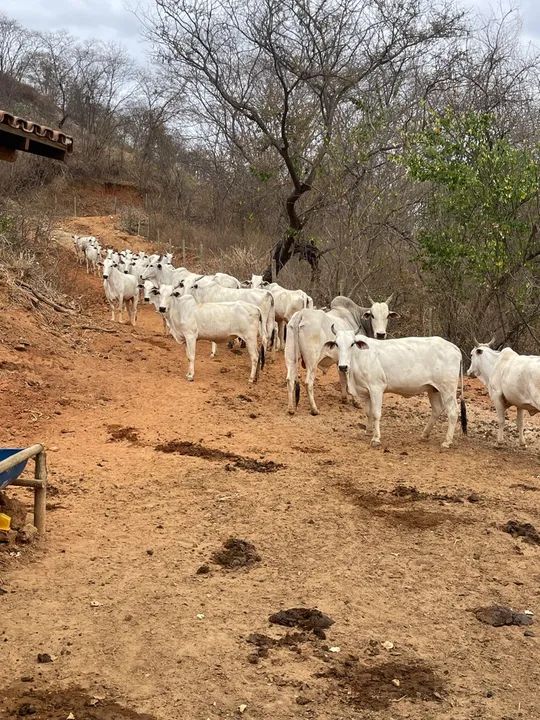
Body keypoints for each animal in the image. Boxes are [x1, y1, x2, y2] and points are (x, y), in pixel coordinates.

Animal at [331, 329, 466, 448]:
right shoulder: (366, 392)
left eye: (352, 344)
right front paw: (368, 432)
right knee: (437, 409)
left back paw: (447, 442)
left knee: (453, 412)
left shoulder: (376, 388)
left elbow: (376, 413)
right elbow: (368, 412)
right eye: (336, 344)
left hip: (448, 389)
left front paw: (376, 438)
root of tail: (454, 347)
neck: (359, 357)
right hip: (433, 389)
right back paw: (424, 435)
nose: (342, 366)